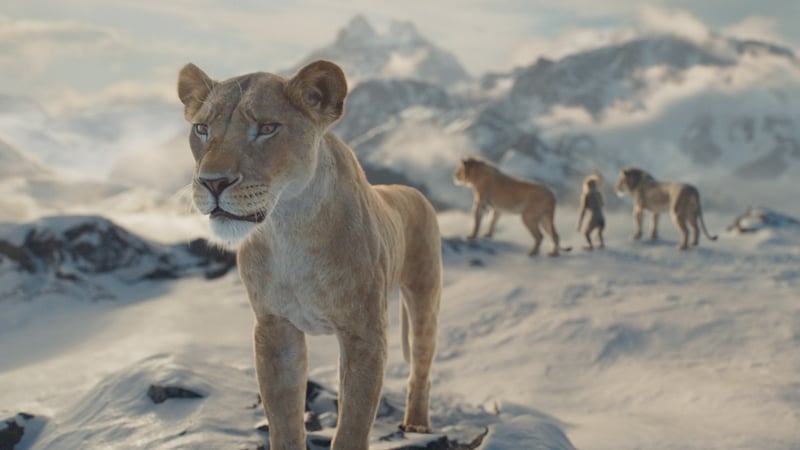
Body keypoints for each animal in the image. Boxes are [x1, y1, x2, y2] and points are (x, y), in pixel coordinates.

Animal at [177, 60, 442, 449]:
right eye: (201, 129)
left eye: (267, 128)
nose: (212, 182)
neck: (289, 228)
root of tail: (412, 191)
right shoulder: (274, 328)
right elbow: (283, 420)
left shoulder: (365, 332)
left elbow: (352, 426)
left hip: (424, 296)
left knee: (421, 365)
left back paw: (418, 425)